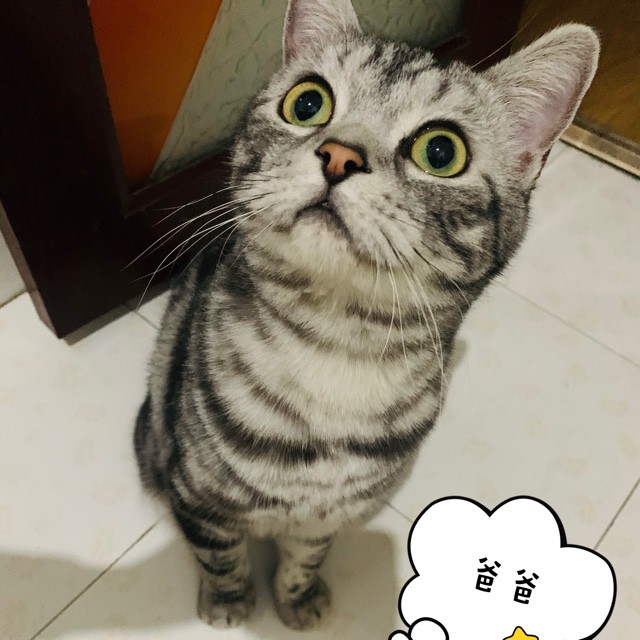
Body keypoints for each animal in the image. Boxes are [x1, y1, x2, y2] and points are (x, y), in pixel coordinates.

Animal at [134, 0, 598, 630]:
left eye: (441, 152)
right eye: (307, 103)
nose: (339, 154)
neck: (334, 345)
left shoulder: (330, 514)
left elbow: (306, 555)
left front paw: (297, 598)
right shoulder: (198, 495)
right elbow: (220, 553)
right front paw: (230, 600)